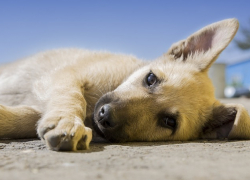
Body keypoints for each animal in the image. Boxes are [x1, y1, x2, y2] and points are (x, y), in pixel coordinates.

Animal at [0, 18, 248, 150]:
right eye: (150, 79)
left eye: (169, 122)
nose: (104, 115)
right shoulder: (64, 75)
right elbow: (72, 96)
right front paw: (67, 121)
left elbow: (26, 117)